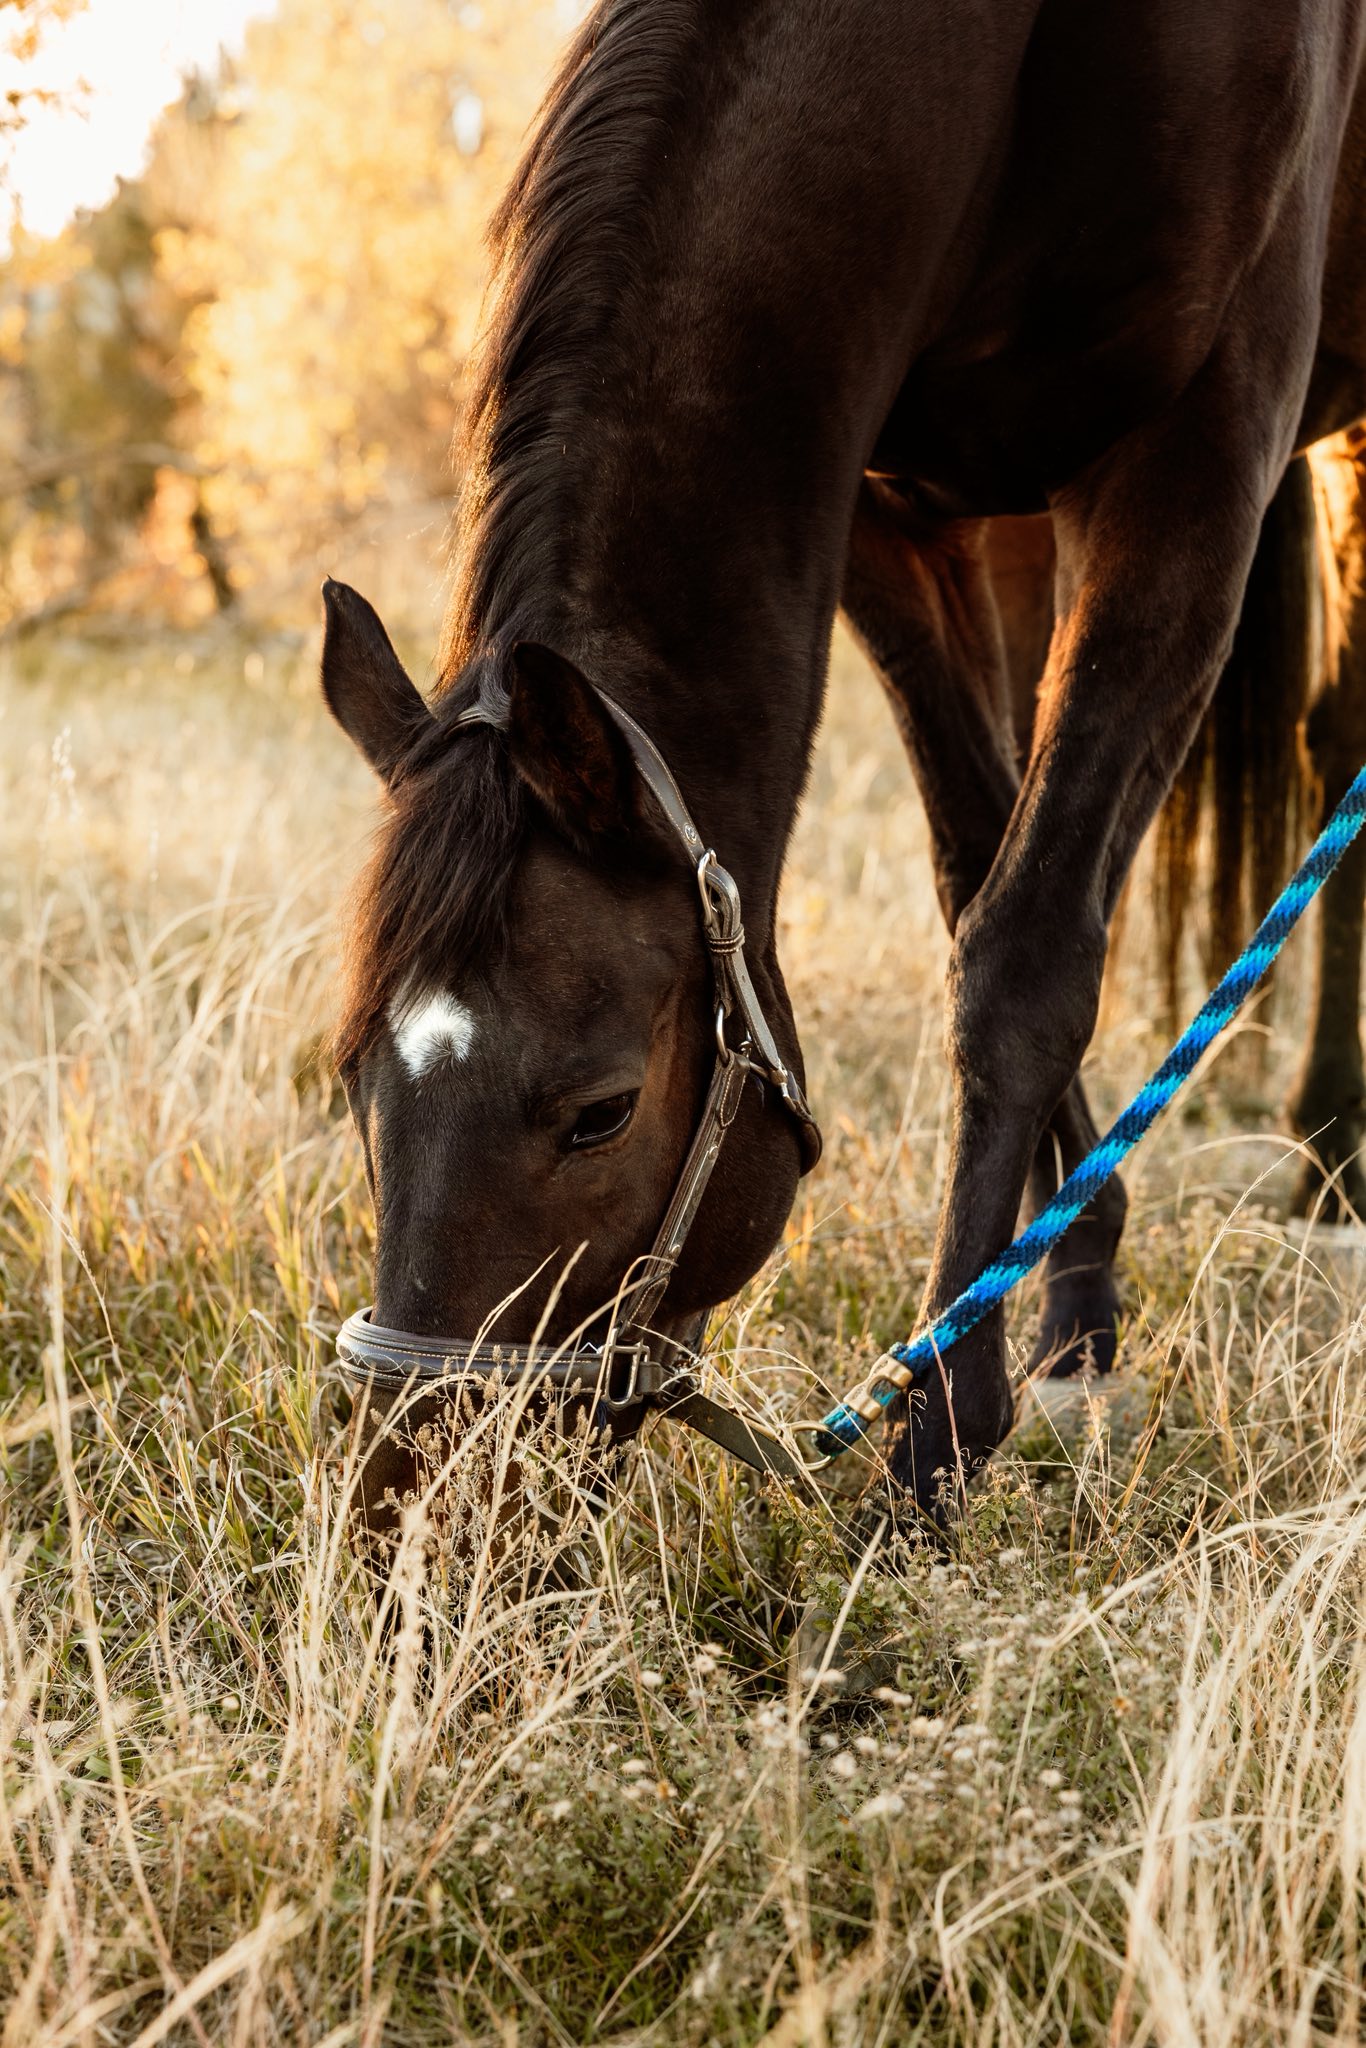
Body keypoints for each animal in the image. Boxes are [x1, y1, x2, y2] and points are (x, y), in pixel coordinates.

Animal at [321, 0, 1366, 1527]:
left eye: (599, 1111)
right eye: (354, 1077)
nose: (416, 1500)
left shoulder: (1195, 460)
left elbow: (1026, 952)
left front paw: (939, 1437)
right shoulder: (887, 514)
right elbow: (978, 872)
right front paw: (1071, 1302)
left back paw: (1333, 1144)